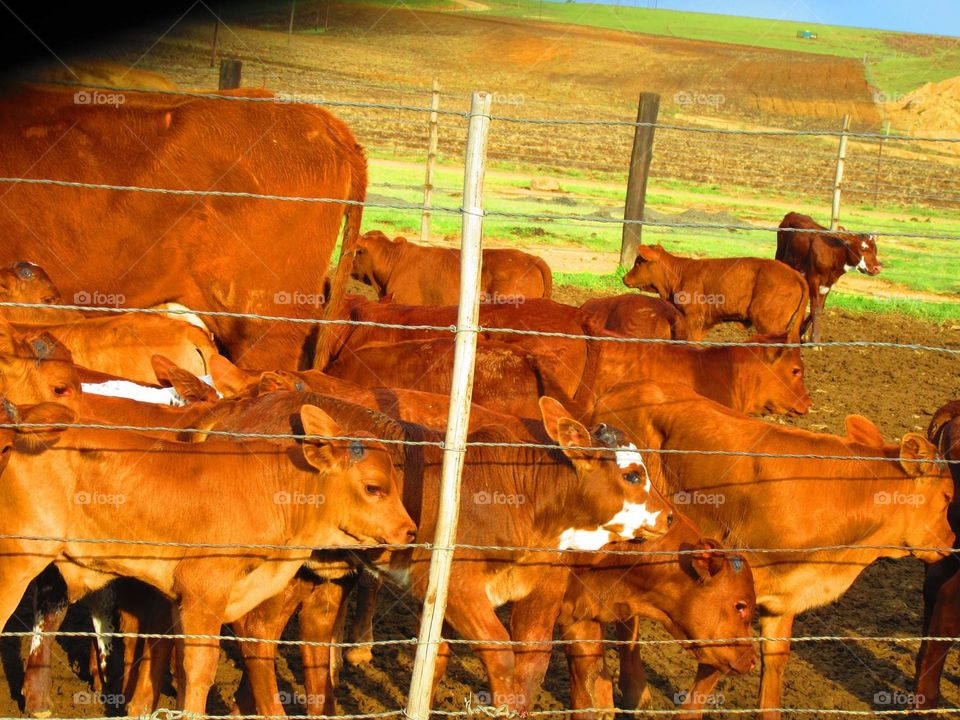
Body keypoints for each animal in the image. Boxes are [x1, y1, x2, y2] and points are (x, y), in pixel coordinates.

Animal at [776, 212, 881, 342]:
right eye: (863, 248)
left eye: (875, 249)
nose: (877, 268)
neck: (833, 254)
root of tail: (792, 214)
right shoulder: (813, 278)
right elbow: (815, 308)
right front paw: (815, 341)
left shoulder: (828, 283)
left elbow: (820, 307)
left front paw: (803, 333)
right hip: (780, 256)